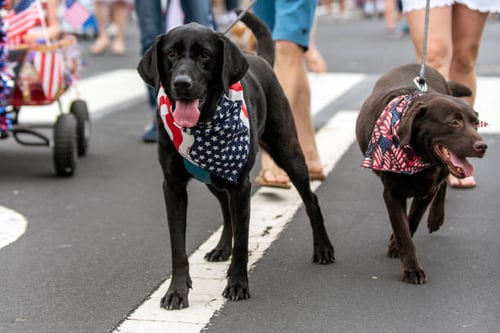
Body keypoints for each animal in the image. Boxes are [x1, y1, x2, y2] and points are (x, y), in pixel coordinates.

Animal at [136, 13, 336, 308]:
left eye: (205, 54)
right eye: (171, 53)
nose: (182, 84)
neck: (203, 124)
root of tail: (260, 59)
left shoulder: (241, 186)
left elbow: (242, 242)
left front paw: (238, 284)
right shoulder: (172, 187)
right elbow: (178, 246)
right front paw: (176, 291)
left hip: (289, 154)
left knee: (311, 200)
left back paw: (323, 248)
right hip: (214, 179)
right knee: (225, 208)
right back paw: (221, 248)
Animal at [356, 64, 488, 282]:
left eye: (476, 123)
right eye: (454, 122)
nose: (482, 146)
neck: (416, 156)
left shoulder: (427, 190)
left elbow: (412, 221)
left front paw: (396, 246)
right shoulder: (392, 194)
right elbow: (403, 231)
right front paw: (411, 269)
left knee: (443, 184)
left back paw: (436, 216)